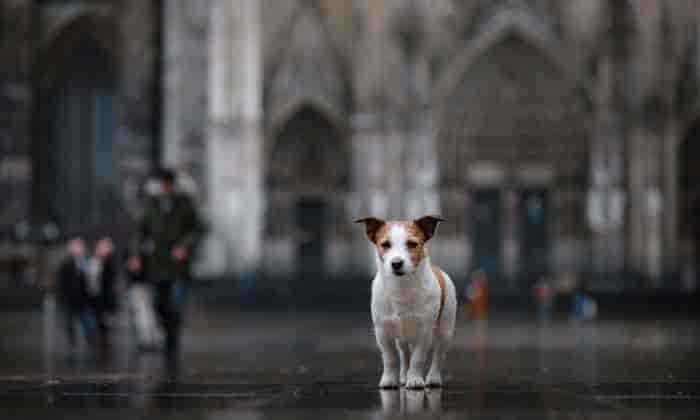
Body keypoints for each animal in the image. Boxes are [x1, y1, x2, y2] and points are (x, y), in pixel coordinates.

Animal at [356, 217, 460, 390]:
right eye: (385, 244)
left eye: (412, 244)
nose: (397, 263)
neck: (401, 287)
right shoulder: (383, 332)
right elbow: (390, 358)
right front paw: (389, 380)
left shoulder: (424, 333)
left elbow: (418, 358)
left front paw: (415, 380)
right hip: (402, 338)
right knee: (404, 355)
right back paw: (404, 376)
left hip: (445, 330)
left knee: (438, 355)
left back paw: (433, 378)